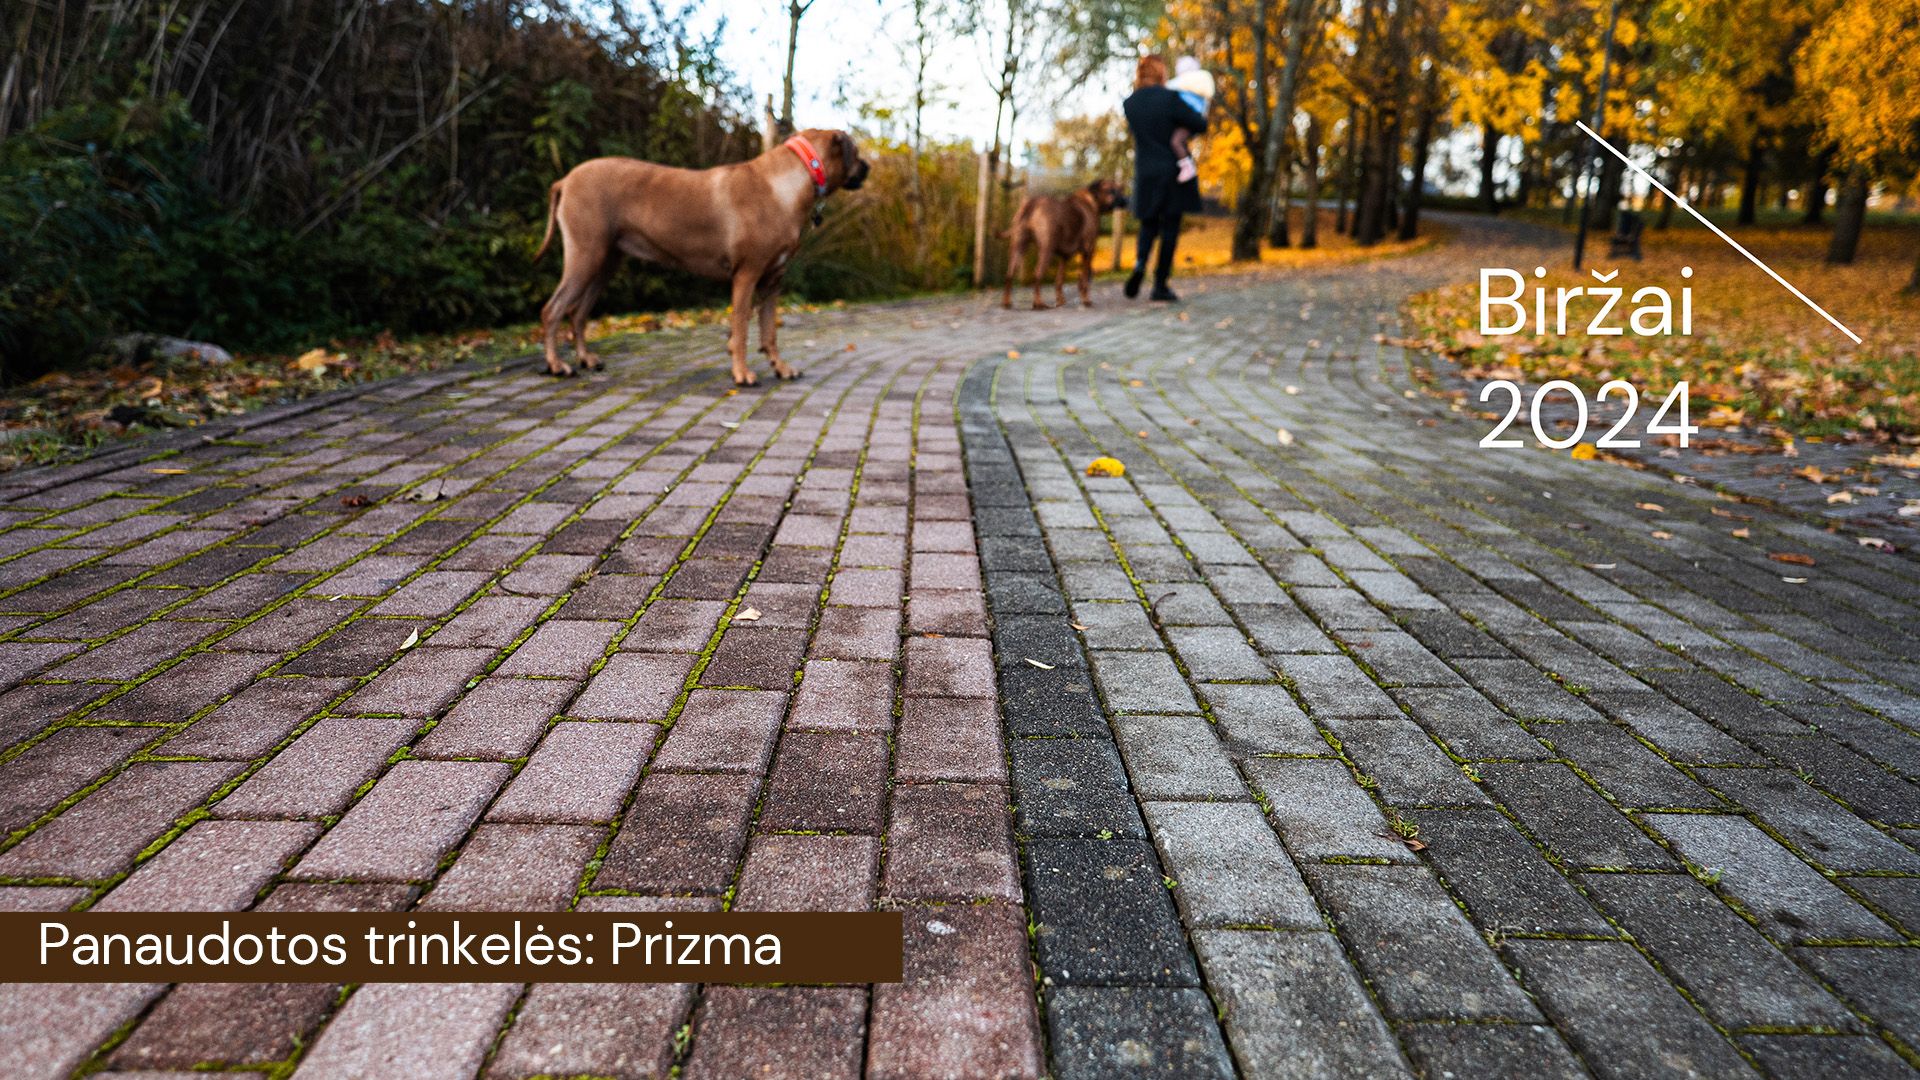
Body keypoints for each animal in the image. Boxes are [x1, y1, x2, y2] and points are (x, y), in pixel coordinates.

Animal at [534, 129, 869, 383]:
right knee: (553, 310)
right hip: (586, 254)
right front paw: (742, 373)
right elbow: (742, 328)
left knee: (577, 312)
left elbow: (769, 332)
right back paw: (556, 365)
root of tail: (565, 180)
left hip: (605, 261)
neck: (788, 182)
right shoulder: (746, 275)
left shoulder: (772, 281)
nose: (868, 167)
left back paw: (587, 359)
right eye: (855, 151)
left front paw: (781, 367)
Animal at [1002, 179, 1126, 310]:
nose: (1126, 200)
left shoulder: (1064, 257)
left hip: (1017, 247)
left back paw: (1006, 302)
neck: (1092, 200)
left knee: (1009, 274)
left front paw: (1060, 301)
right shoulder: (1088, 251)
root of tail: (1032, 203)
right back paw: (1038, 303)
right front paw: (1086, 300)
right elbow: (1084, 280)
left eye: (1120, 189)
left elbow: (1059, 280)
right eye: (1111, 191)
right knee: (1037, 274)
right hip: (1046, 249)